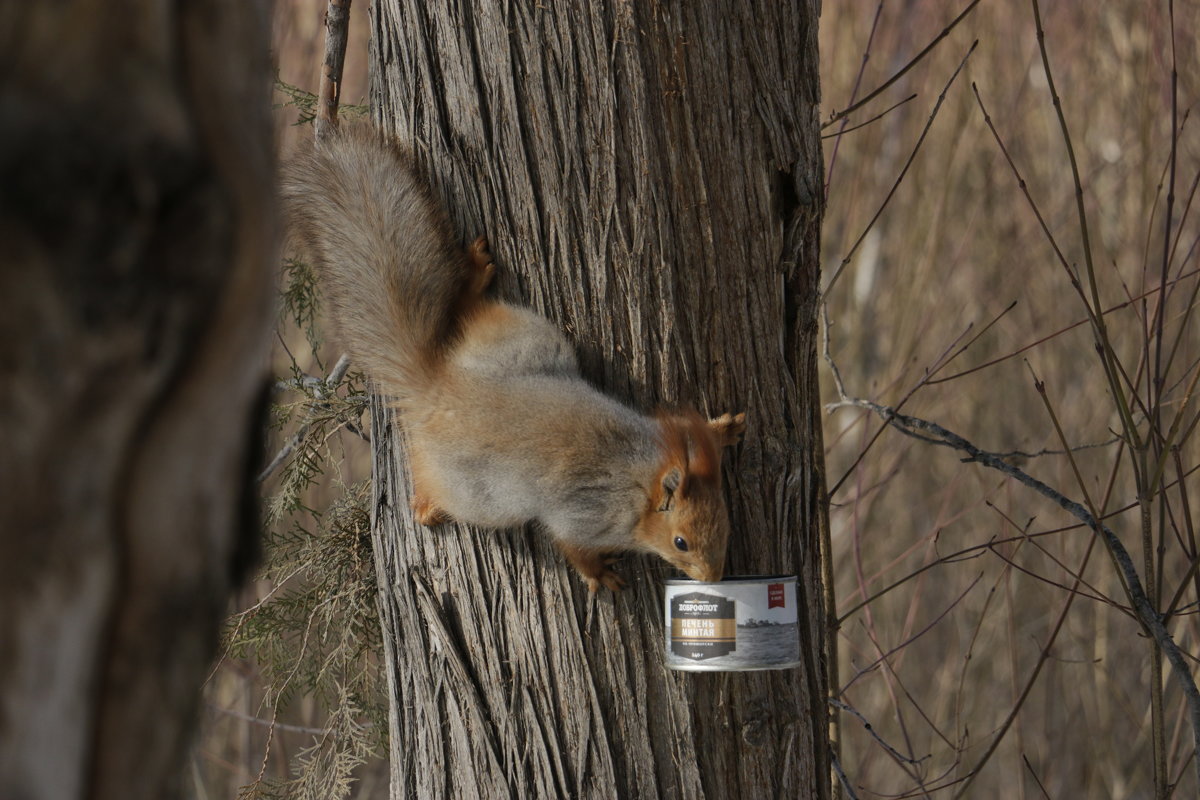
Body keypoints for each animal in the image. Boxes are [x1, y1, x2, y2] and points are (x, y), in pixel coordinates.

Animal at [284, 123, 744, 587]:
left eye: (726, 522)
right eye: (680, 542)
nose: (713, 578)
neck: (644, 476)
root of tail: (438, 386)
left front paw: (722, 429)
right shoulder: (584, 517)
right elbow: (573, 546)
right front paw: (600, 576)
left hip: (523, 338)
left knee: (468, 313)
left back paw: (474, 277)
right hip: (478, 493)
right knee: (432, 475)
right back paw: (426, 504)